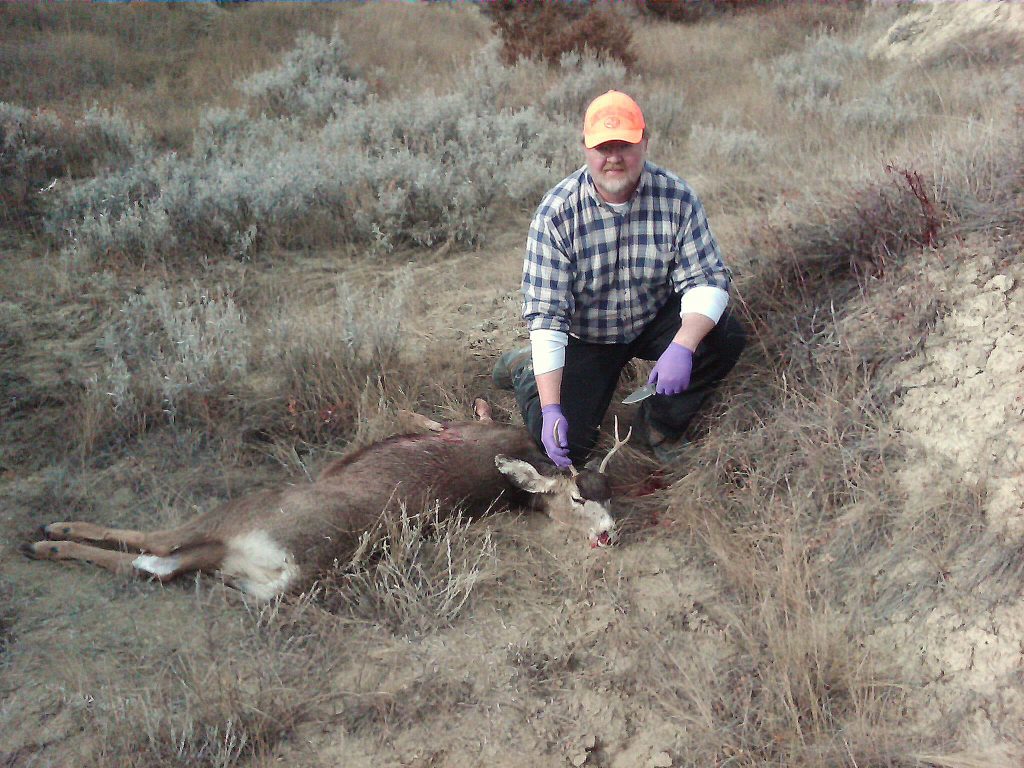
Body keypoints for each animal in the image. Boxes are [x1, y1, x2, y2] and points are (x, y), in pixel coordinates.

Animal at [22, 400, 631, 600]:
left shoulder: (468, 430)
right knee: (154, 565)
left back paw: (47, 537)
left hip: (243, 511)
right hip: (222, 557)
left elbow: (433, 417)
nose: (609, 532)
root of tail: (292, 567)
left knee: (153, 545)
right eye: (581, 497)